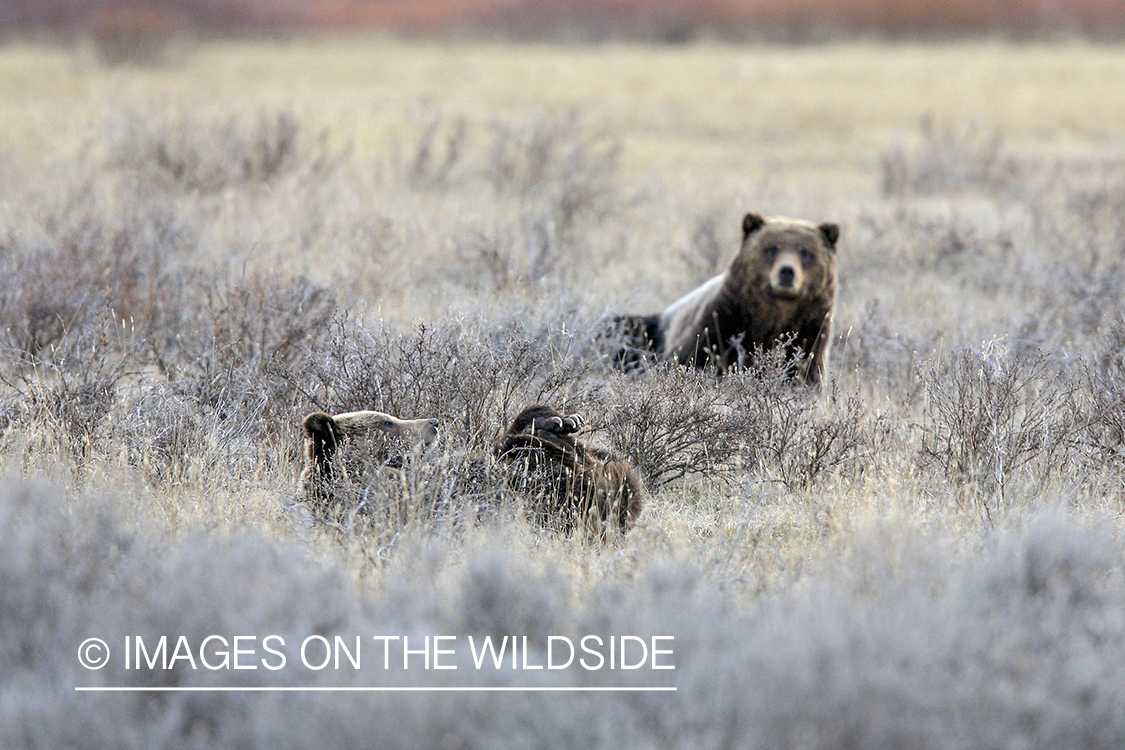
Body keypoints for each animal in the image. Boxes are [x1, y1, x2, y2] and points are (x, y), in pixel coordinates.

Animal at [612, 212, 841, 384]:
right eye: (771, 248)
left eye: (805, 252)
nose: (787, 271)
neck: (774, 315)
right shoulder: (722, 321)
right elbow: (692, 357)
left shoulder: (810, 334)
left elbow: (804, 373)